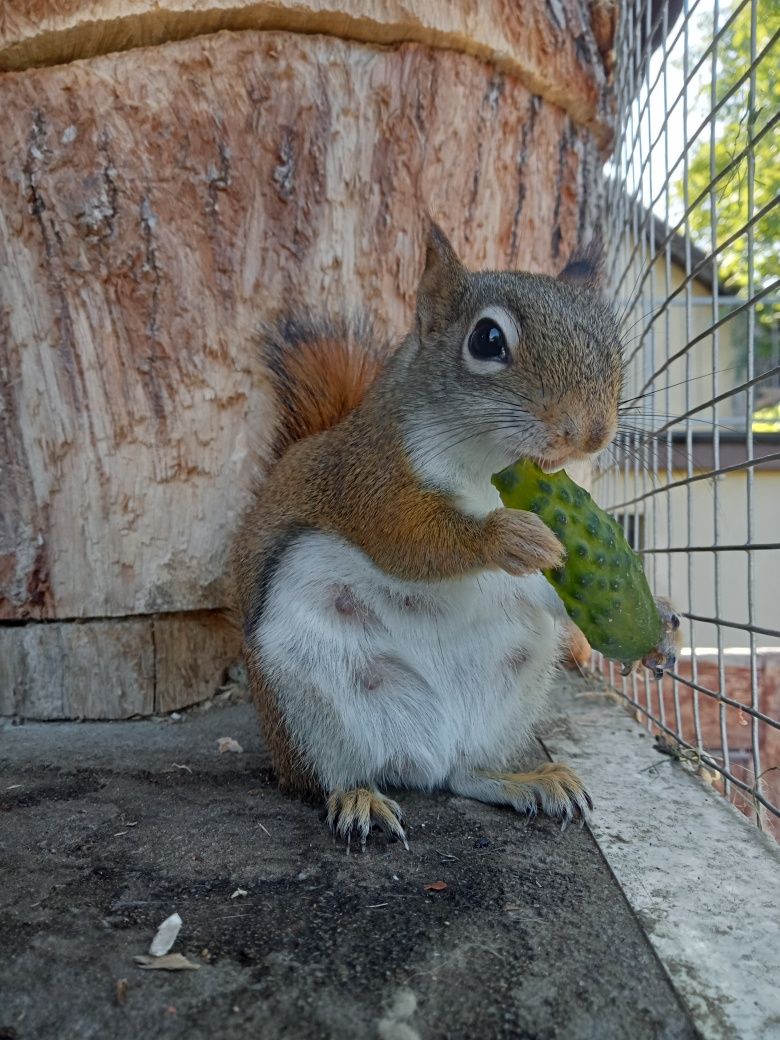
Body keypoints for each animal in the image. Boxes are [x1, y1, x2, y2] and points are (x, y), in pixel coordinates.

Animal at [228, 223, 682, 848]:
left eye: (612, 340)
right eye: (487, 340)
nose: (591, 433)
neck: (490, 471)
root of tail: (423, 755)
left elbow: (561, 586)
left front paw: (657, 621)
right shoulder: (371, 480)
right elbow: (408, 540)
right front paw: (505, 537)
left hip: (511, 691)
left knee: (465, 774)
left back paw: (523, 781)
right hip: (303, 690)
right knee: (331, 774)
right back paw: (358, 797)